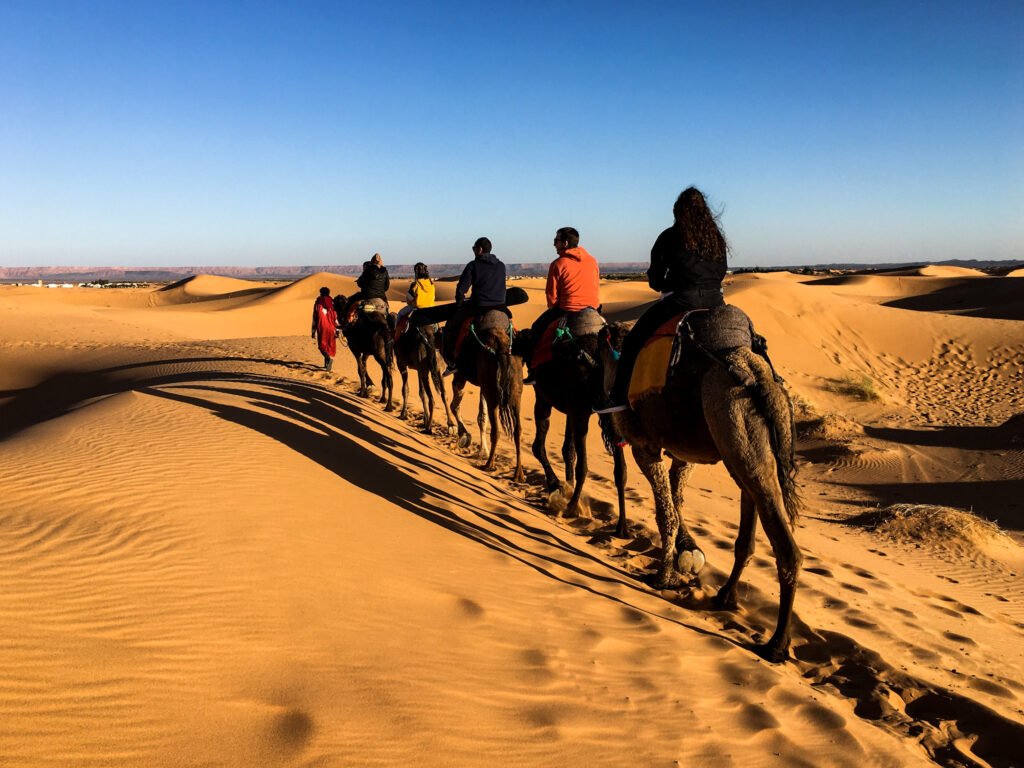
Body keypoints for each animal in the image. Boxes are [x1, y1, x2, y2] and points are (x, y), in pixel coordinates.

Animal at [450, 311, 528, 481]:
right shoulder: (484, 386)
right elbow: (481, 416)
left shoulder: (461, 373)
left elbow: (456, 405)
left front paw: (464, 437)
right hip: (515, 395)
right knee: (517, 430)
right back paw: (518, 474)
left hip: (492, 392)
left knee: (496, 430)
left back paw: (489, 464)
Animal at [516, 315, 626, 536]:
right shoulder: (575, 411)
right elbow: (573, 454)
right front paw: (567, 491)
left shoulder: (551, 400)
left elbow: (544, 448)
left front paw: (558, 487)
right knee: (618, 470)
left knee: (577, 461)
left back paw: (568, 500)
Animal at [598, 321, 802, 663]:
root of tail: (760, 381)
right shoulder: (685, 456)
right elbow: (676, 497)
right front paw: (687, 555)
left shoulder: (645, 446)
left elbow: (665, 513)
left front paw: (662, 576)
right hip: (747, 449)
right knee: (750, 522)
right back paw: (725, 597)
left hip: (733, 421)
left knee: (786, 548)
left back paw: (776, 644)